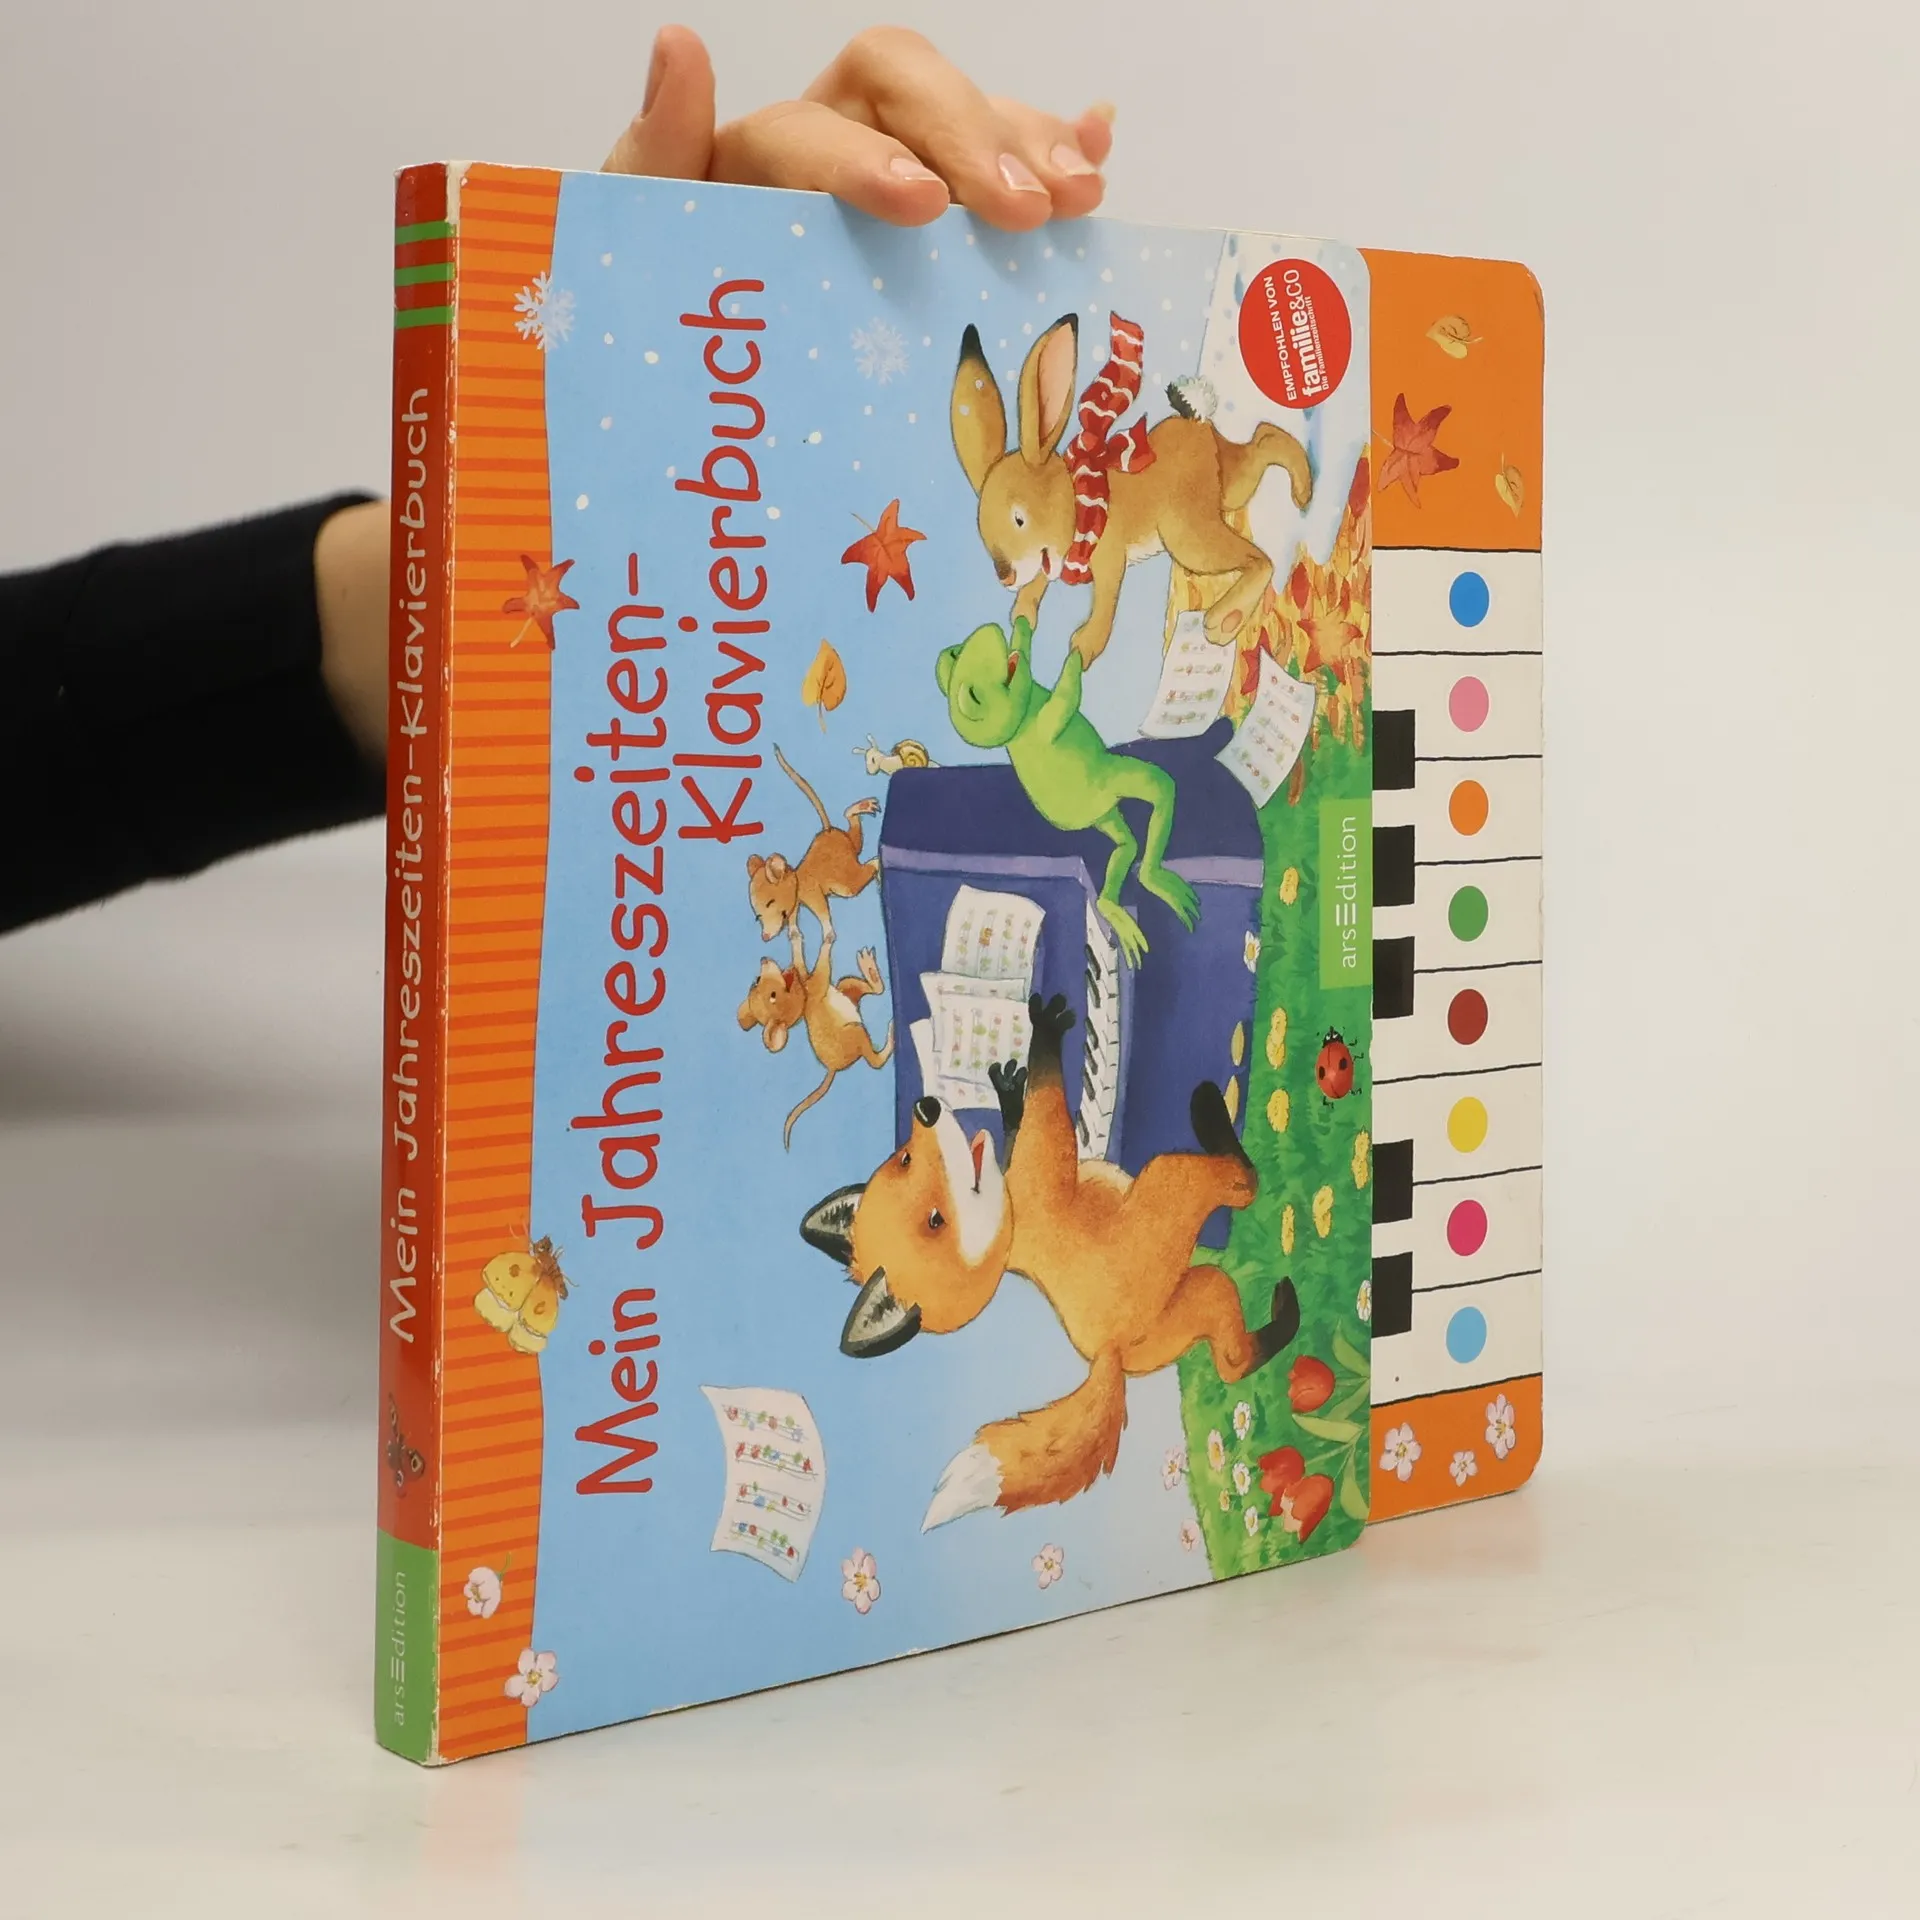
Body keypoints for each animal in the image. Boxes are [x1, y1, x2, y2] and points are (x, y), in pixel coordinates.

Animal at [799, 992, 1300, 1528]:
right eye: (936, 1220)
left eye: (904, 1160)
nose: (927, 1108)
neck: (1009, 1229)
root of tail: (1109, 1353)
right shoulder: (1042, 1175)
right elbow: (1048, 1118)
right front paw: (1045, 1030)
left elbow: (1021, 1125)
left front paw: (1008, 1090)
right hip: (1171, 1183)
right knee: (1241, 1186)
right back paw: (1210, 1113)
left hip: (1190, 1306)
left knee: (1234, 1362)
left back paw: (1285, 1314)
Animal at [949, 311, 1314, 668]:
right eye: (981, 531)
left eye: (1019, 519)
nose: (1005, 576)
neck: (1076, 499)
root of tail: (1194, 421)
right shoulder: (1049, 558)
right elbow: (1039, 580)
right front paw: (1023, 613)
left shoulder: (1109, 560)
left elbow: (1105, 605)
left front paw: (1085, 646)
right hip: (1228, 489)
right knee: (1264, 436)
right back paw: (1303, 487)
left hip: (1187, 536)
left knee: (1261, 558)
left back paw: (1225, 620)